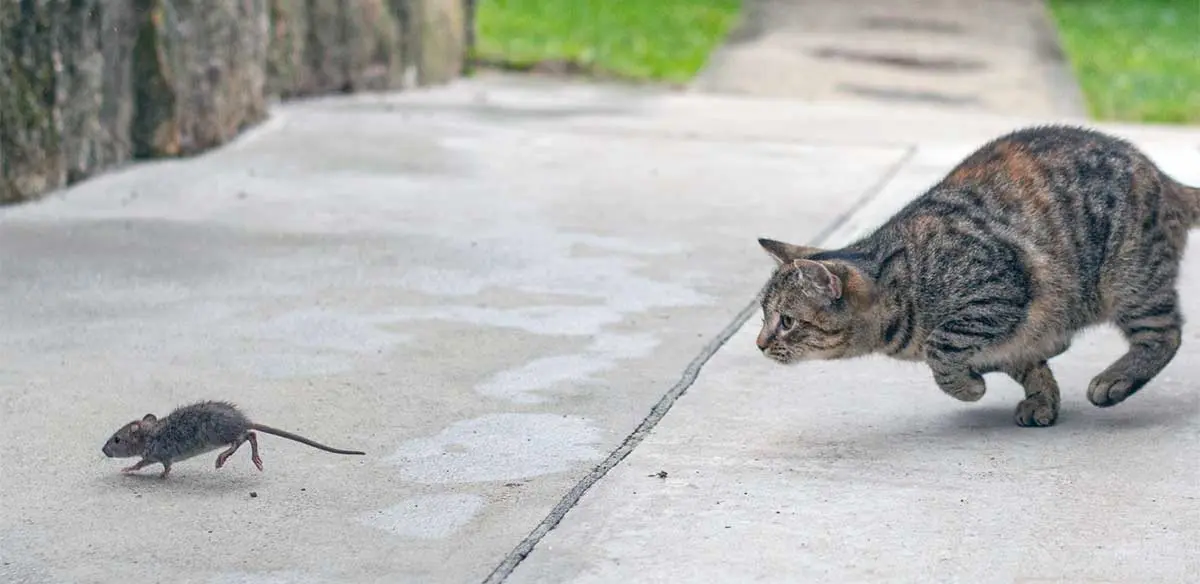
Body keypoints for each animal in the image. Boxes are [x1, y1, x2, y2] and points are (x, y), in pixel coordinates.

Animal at [753, 125, 1200, 426]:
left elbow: (942, 349)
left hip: (1130, 279)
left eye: (787, 321)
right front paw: (1042, 399)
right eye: (763, 317)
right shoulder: (1015, 341)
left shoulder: (996, 294)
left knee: (1166, 333)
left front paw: (969, 386)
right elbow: (1029, 365)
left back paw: (1116, 379)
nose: (759, 343)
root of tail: (1164, 177)